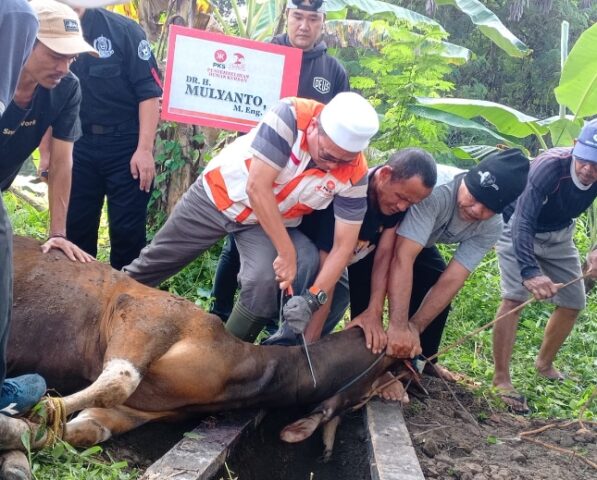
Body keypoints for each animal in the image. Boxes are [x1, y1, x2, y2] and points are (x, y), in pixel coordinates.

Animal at [0, 238, 402, 460]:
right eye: (384, 369)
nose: (399, 387)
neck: (244, 370)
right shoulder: (145, 313)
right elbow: (119, 379)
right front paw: (34, 408)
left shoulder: (132, 413)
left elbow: (83, 428)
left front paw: (21, 427)